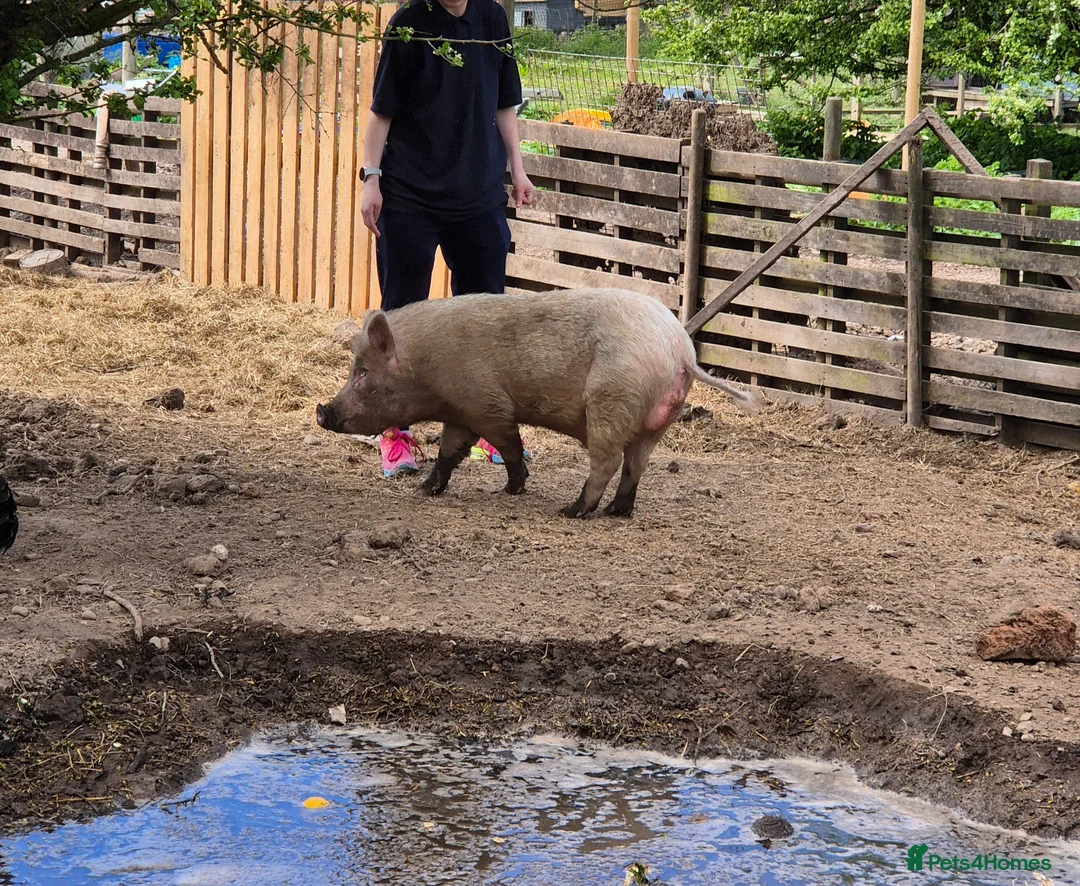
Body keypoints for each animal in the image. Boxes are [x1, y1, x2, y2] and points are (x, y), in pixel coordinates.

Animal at [316, 287, 757, 518]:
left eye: (362, 374)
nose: (322, 411)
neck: (423, 365)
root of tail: (681, 350)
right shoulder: (463, 412)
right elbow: (449, 453)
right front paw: (424, 491)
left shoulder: (487, 405)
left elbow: (510, 445)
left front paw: (514, 488)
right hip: (652, 424)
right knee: (636, 465)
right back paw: (617, 511)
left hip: (610, 402)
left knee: (608, 462)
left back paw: (572, 510)